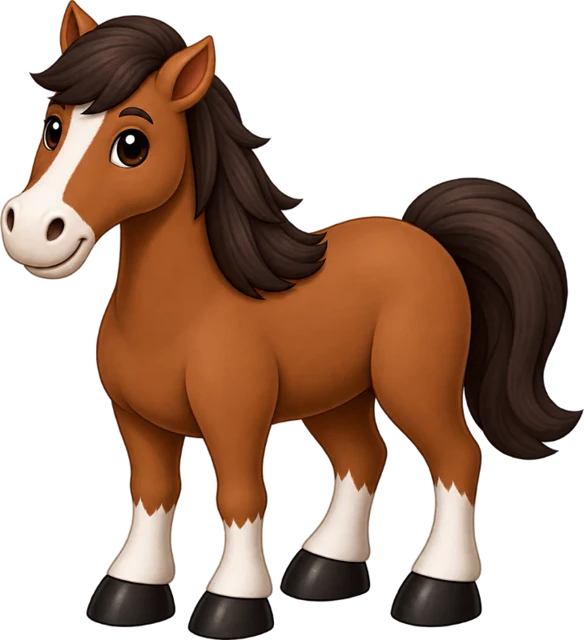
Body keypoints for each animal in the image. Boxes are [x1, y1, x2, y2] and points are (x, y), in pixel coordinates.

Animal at [3, 2, 580, 636]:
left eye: (132, 144)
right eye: (53, 126)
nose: (31, 228)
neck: (182, 316)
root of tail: (430, 240)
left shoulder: (236, 423)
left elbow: (240, 497)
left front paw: (233, 603)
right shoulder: (139, 425)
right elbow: (151, 494)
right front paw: (129, 591)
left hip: (414, 386)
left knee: (455, 458)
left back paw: (437, 590)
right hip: (336, 398)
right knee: (361, 459)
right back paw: (325, 569)